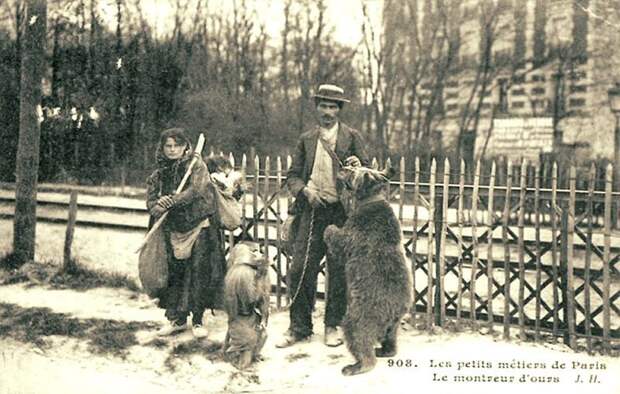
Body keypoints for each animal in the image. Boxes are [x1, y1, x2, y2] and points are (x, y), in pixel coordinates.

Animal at [324, 165, 412, 376]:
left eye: (353, 171)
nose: (343, 166)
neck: (369, 199)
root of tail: (393, 310)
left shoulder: (356, 232)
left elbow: (340, 241)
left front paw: (329, 228)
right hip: (394, 323)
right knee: (391, 337)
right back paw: (386, 350)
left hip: (361, 315)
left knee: (358, 338)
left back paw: (355, 366)